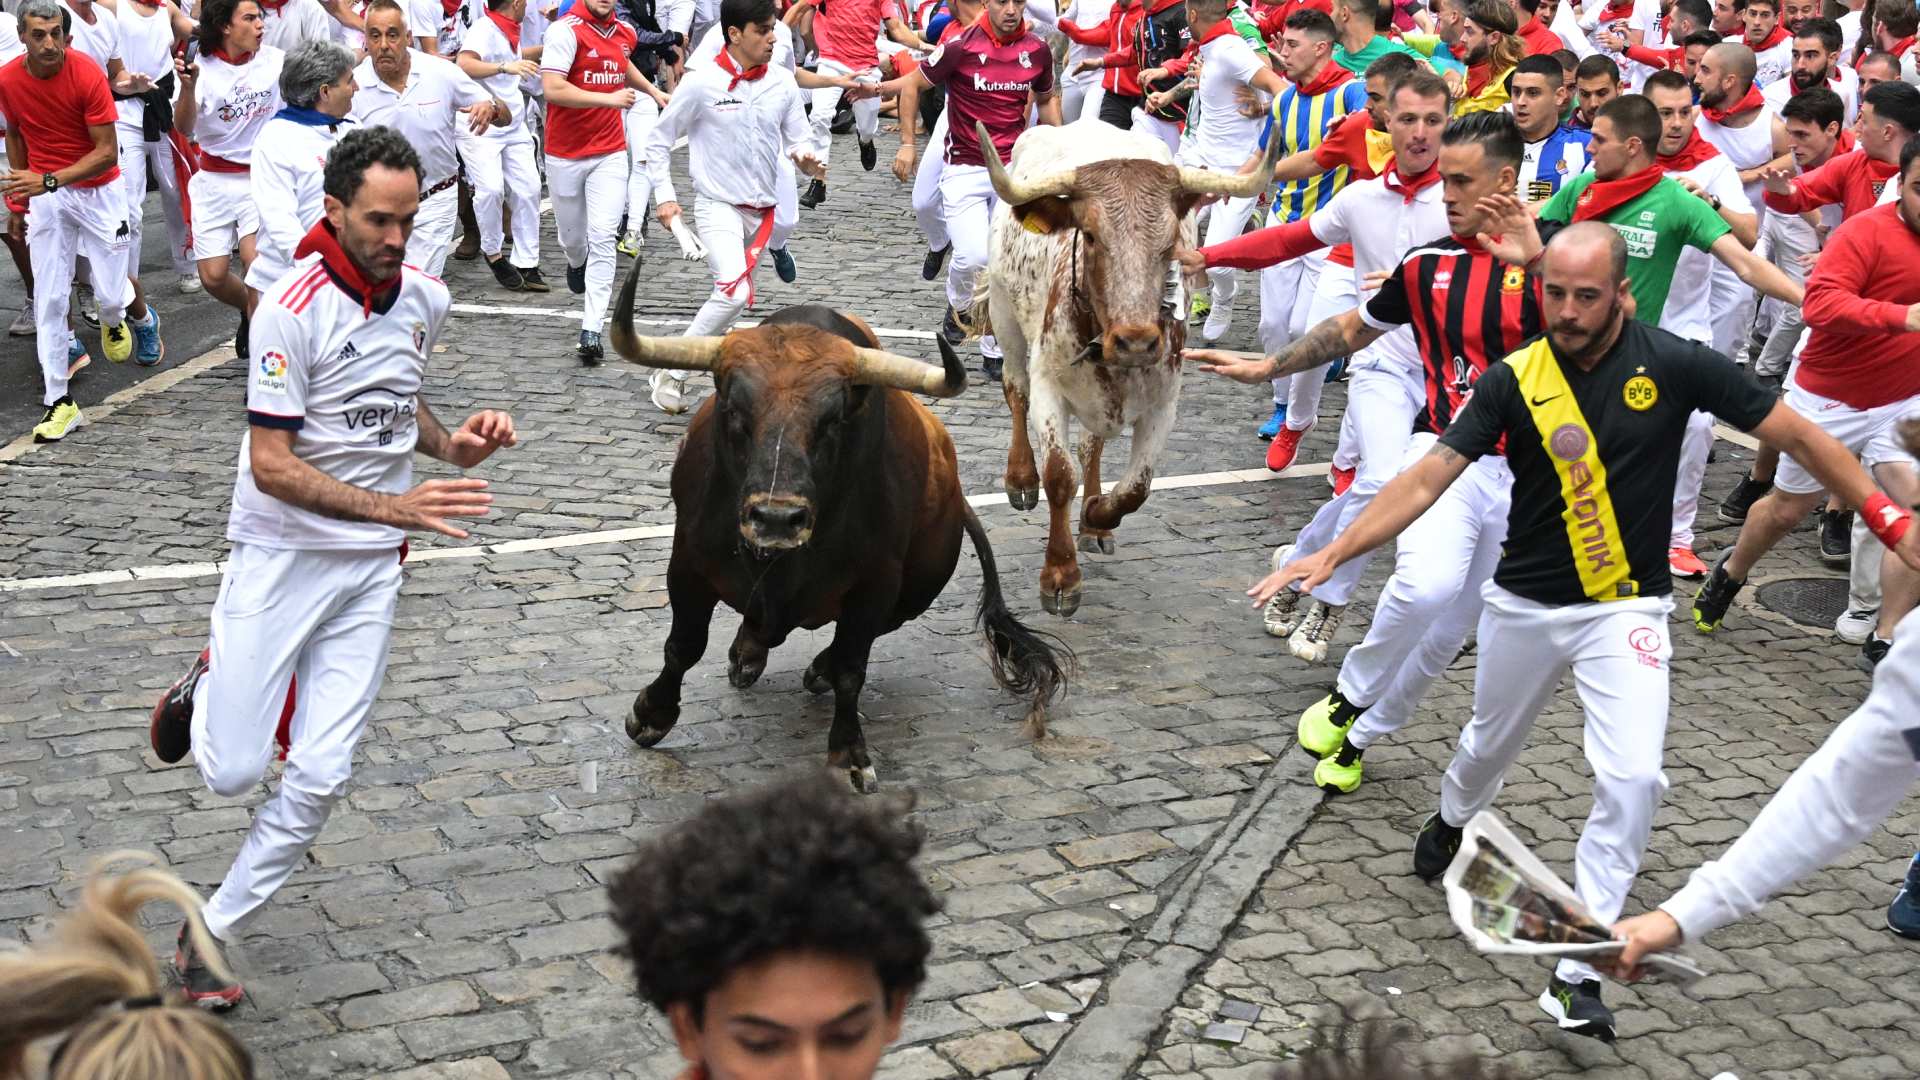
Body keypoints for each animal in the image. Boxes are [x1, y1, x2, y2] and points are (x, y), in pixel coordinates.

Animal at [610, 263, 1075, 780]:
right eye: (734, 410)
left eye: (832, 420)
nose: (776, 518)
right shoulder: (688, 562)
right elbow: (684, 644)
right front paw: (652, 714)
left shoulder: (876, 587)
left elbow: (853, 667)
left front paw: (849, 750)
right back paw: (749, 655)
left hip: (916, 591)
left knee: (845, 646)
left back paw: (810, 667)